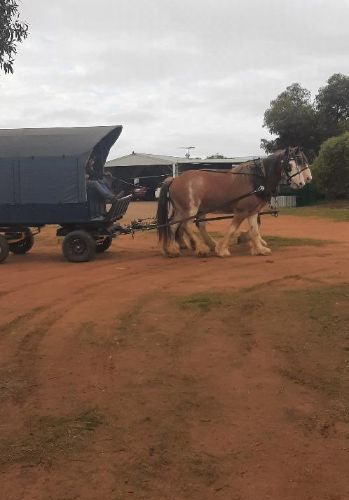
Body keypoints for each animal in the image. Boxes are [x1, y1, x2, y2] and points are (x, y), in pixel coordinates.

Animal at [156, 146, 308, 258]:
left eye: (300, 163)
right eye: (289, 166)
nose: (302, 183)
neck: (256, 180)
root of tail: (174, 179)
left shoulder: (252, 211)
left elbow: (254, 229)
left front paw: (259, 249)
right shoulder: (242, 211)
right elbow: (233, 229)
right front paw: (222, 249)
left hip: (182, 210)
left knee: (173, 226)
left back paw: (172, 250)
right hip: (190, 209)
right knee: (186, 225)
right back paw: (201, 249)